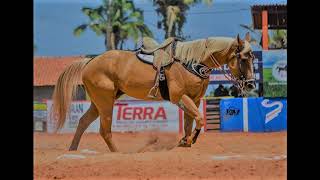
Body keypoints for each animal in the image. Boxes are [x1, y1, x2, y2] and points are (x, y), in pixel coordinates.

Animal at [51, 32, 256, 152]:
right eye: (243, 58)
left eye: (252, 57)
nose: (251, 84)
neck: (191, 62)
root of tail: (89, 62)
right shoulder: (179, 97)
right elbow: (199, 119)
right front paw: (188, 141)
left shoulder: (194, 99)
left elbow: (190, 122)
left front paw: (185, 141)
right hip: (105, 102)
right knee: (105, 131)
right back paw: (118, 154)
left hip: (98, 102)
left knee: (83, 122)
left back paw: (72, 150)